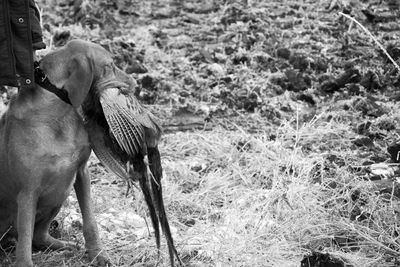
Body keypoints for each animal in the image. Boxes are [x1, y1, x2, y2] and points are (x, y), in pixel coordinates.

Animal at [0, 39, 138, 267]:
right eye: (109, 66)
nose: (134, 82)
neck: (57, 111)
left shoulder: (81, 173)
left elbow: (90, 221)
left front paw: (98, 254)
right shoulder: (27, 192)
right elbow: (25, 238)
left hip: (59, 193)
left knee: (39, 236)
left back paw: (63, 246)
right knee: (27, 236)